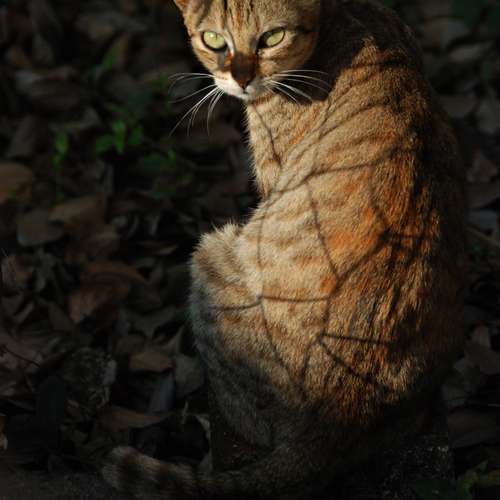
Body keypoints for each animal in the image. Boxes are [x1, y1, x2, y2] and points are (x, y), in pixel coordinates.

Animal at [102, 0, 466, 498]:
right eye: (214, 40)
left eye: (271, 37)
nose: (241, 80)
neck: (346, 18)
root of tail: (334, 423)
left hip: (209, 257)